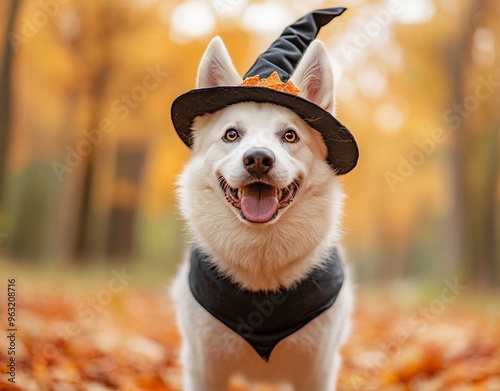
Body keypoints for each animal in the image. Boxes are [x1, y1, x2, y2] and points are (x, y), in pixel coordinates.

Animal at [171, 29, 356, 390]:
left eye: (290, 136)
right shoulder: (204, 368)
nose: (258, 158)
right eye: (231, 135)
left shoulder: (318, 370)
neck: (261, 268)